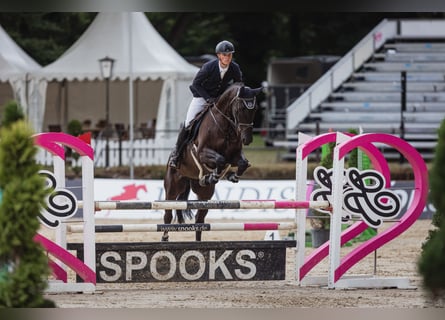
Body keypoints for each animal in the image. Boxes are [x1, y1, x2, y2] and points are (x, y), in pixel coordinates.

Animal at [162, 82, 262, 240]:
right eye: (241, 108)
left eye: (256, 108)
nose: (247, 139)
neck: (225, 127)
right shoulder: (202, 153)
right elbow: (220, 159)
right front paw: (214, 175)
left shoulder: (234, 156)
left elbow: (242, 163)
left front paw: (230, 176)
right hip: (173, 186)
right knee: (167, 215)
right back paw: (164, 239)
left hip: (204, 193)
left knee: (199, 221)